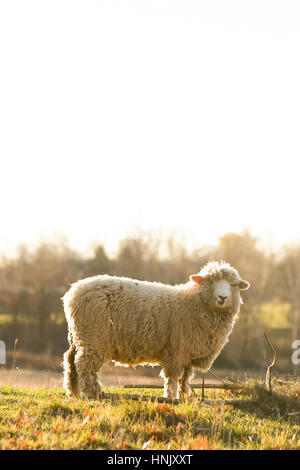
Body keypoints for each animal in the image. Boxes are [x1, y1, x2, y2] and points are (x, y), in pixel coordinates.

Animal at [62, 262, 250, 398]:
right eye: (210, 282)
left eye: (233, 284)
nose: (223, 297)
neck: (193, 303)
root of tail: (73, 292)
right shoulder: (177, 350)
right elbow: (172, 377)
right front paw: (171, 398)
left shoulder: (188, 353)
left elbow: (185, 379)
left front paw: (185, 397)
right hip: (94, 337)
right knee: (84, 364)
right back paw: (93, 392)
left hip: (78, 335)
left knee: (70, 360)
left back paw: (73, 392)